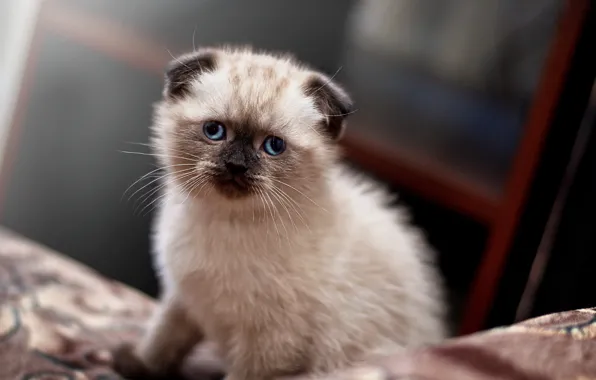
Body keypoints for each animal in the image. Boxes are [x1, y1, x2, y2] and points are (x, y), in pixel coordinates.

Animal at [113, 46, 448, 380]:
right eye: (214, 131)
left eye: (273, 146)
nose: (236, 166)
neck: (224, 223)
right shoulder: (184, 296)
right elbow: (163, 336)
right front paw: (137, 364)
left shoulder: (270, 342)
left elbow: (238, 376)